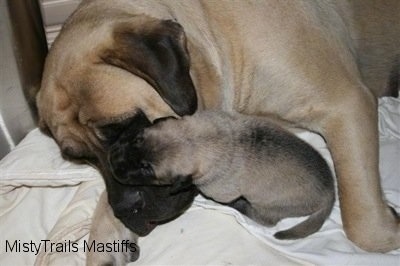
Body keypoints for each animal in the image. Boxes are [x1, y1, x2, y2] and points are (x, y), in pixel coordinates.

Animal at [108, 110, 334, 239]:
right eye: (137, 139)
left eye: (146, 169)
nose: (112, 160)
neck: (200, 140)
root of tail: (330, 193)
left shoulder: (219, 190)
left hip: (270, 205)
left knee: (265, 219)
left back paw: (241, 206)